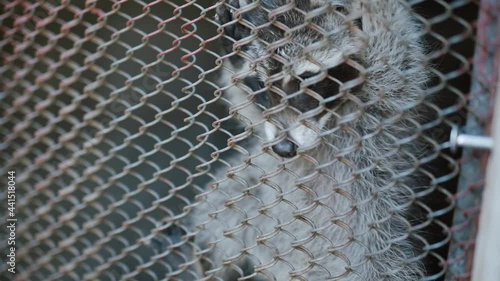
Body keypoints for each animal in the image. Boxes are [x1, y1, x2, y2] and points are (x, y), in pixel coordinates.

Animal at [189, 1, 432, 278]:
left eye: (308, 83)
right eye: (260, 86)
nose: (283, 148)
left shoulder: (380, 111)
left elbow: (398, 69)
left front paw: (376, 11)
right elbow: (249, 110)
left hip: (373, 247)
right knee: (223, 204)